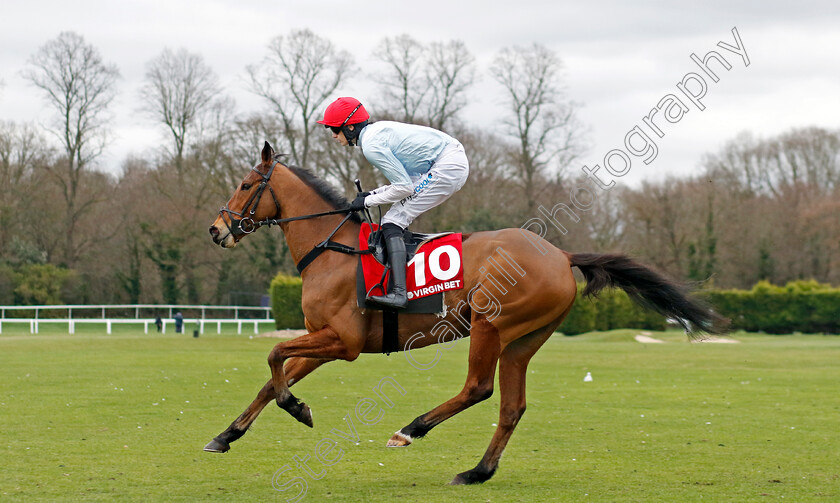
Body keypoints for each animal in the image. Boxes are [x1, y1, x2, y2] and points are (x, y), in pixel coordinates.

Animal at [205, 141, 728, 484]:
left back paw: (410, 430)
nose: (216, 230)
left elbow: (273, 355)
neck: (331, 249)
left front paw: (296, 407)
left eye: (246, 185)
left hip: (489, 323)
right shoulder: (324, 338)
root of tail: (560, 255)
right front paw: (227, 435)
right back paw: (478, 471)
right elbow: (272, 377)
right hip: (523, 340)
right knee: (512, 405)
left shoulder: (344, 342)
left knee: (479, 387)